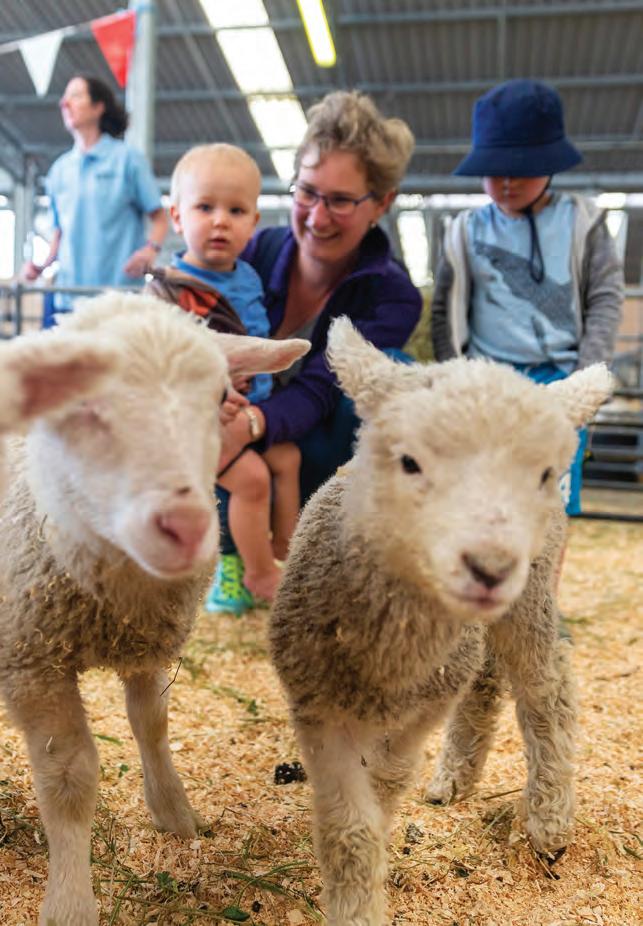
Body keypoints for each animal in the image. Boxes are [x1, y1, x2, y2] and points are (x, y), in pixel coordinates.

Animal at [0, 291, 309, 926]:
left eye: (220, 398)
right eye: (79, 399)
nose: (187, 526)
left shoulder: (147, 644)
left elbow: (152, 723)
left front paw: (174, 813)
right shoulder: (33, 661)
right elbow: (69, 777)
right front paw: (70, 901)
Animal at [270, 317, 614, 926]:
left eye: (542, 472)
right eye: (409, 461)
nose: (491, 567)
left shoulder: (423, 707)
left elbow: (383, 783)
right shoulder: (315, 702)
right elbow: (345, 820)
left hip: (532, 596)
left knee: (546, 689)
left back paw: (549, 822)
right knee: (486, 678)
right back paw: (455, 780)